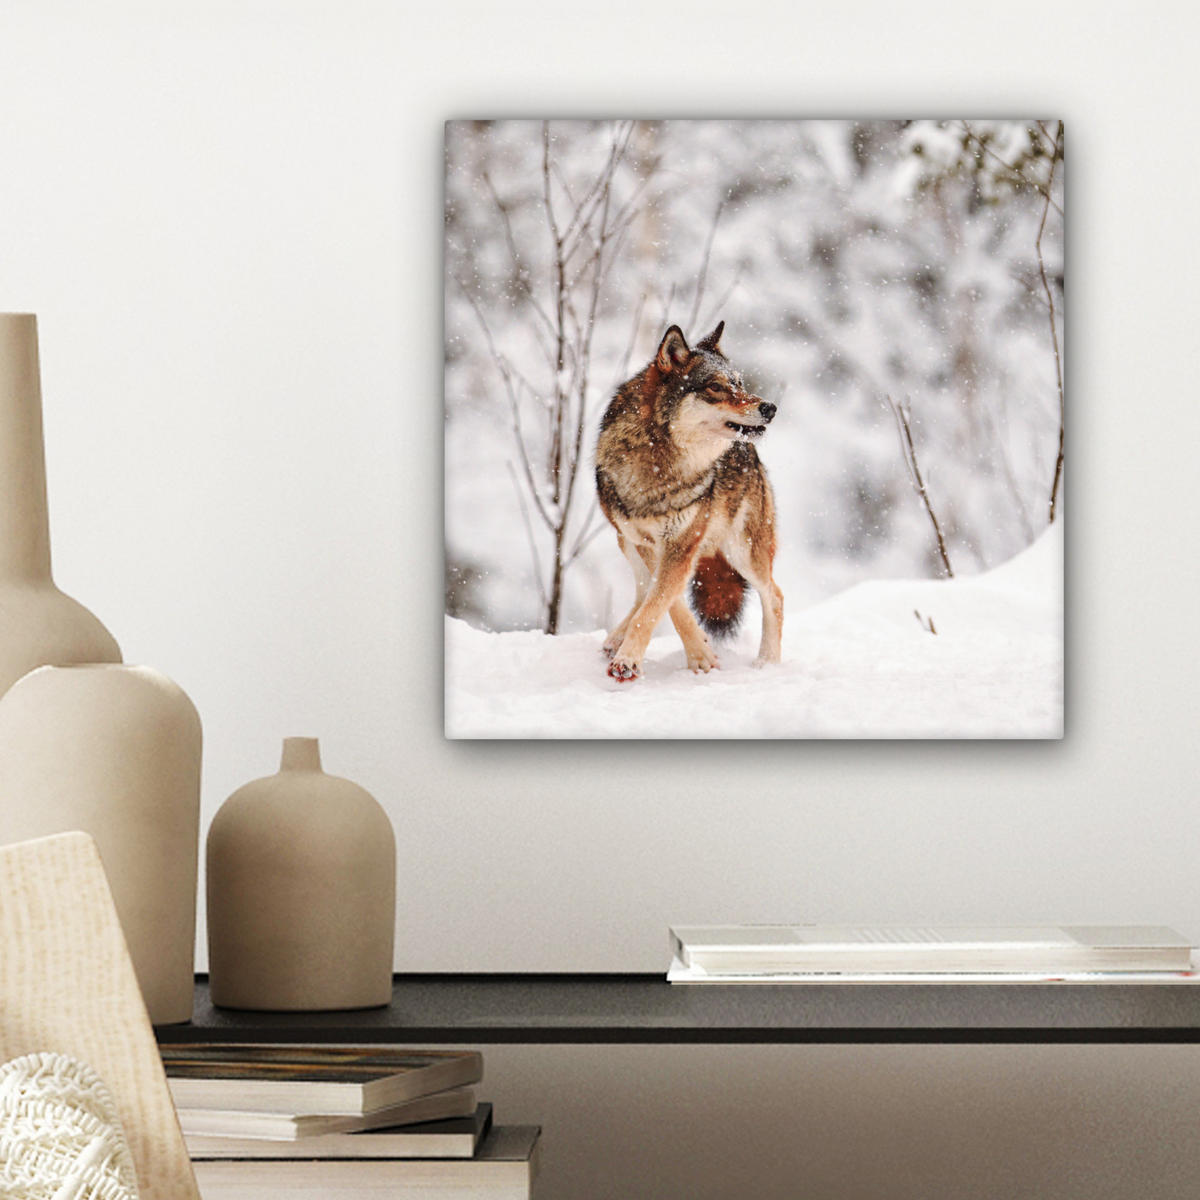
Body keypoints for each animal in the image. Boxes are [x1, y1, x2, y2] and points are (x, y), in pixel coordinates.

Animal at [595, 321, 783, 682]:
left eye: (740, 383)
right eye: (715, 387)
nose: (769, 407)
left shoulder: (681, 543)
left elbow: (658, 603)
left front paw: (631, 661)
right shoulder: (649, 543)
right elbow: (666, 602)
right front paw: (700, 652)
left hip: (742, 551)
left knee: (775, 596)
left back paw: (768, 663)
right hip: (625, 541)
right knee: (642, 590)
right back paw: (615, 639)